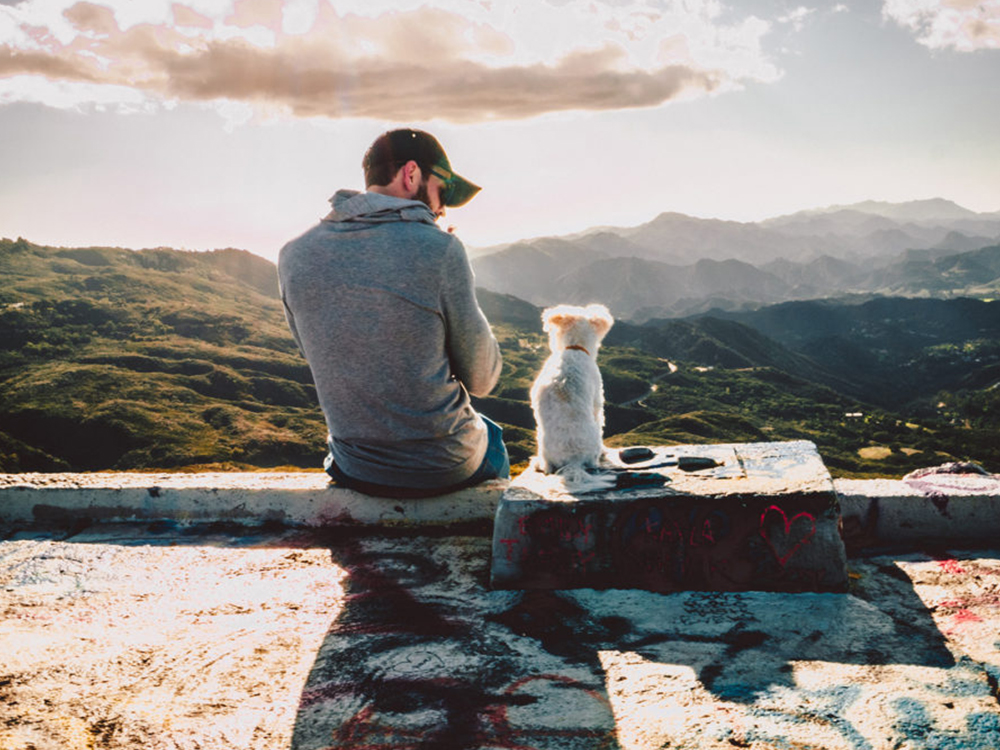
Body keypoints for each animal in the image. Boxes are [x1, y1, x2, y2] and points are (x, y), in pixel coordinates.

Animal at [528, 304, 612, 488]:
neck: (574, 348)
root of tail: (574, 462)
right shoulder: (597, 400)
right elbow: (600, 418)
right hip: (593, 442)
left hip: (542, 441)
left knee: (547, 466)